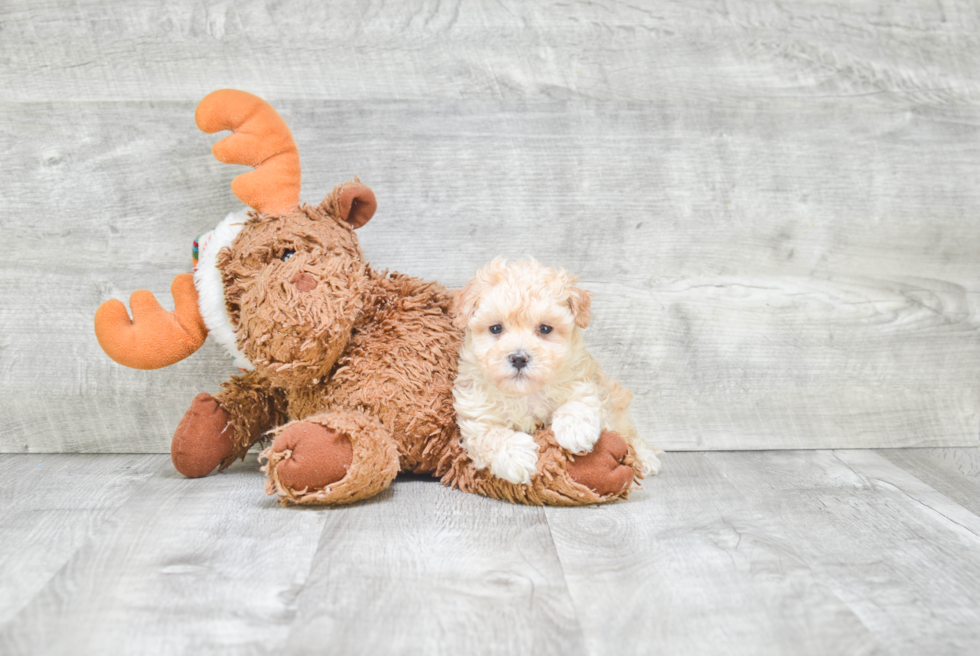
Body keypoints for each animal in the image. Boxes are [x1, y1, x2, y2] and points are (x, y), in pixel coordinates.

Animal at [450, 258, 664, 484]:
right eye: (496, 328)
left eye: (545, 329)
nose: (519, 358)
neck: (525, 393)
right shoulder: (476, 414)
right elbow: (489, 436)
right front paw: (516, 456)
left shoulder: (583, 379)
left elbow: (579, 402)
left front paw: (575, 430)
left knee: (630, 435)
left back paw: (646, 458)